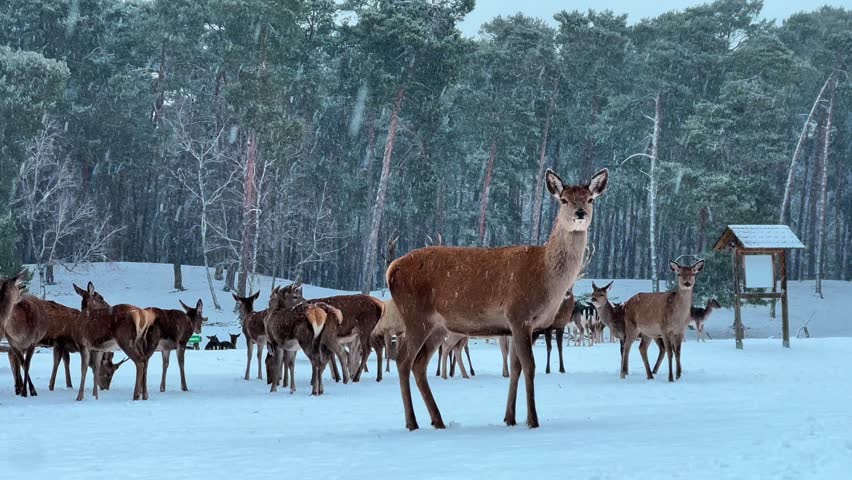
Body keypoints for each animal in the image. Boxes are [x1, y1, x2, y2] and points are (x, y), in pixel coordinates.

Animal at [386, 167, 608, 430]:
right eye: (564, 200)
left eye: (590, 199)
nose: (580, 212)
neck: (545, 277)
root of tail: (391, 270)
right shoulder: (519, 314)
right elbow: (530, 366)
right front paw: (533, 420)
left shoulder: (522, 326)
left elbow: (515, 367)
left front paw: (509, 418)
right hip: (415, 315)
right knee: (403, 361)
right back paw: (412, 423)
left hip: (437, 326)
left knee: (419, 364)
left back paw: (437, 420)